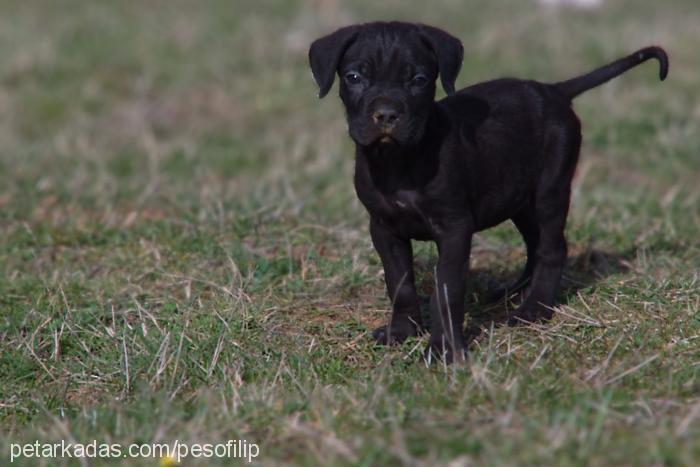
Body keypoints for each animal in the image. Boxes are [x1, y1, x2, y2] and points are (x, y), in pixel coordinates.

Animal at [308, 21, 668, 362]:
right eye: (354, 77)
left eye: (419, 79)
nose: (385, 114)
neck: (398, 160)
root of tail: (553, 91)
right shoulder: (384, 228)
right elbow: (400, 283)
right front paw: (402, 332)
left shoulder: (454, 228)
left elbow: (447, 290)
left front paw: (444, 351)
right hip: (518, 198)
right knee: (535, 244)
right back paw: (515, 293)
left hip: (550, 190)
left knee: (552, 248)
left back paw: (534, 308)